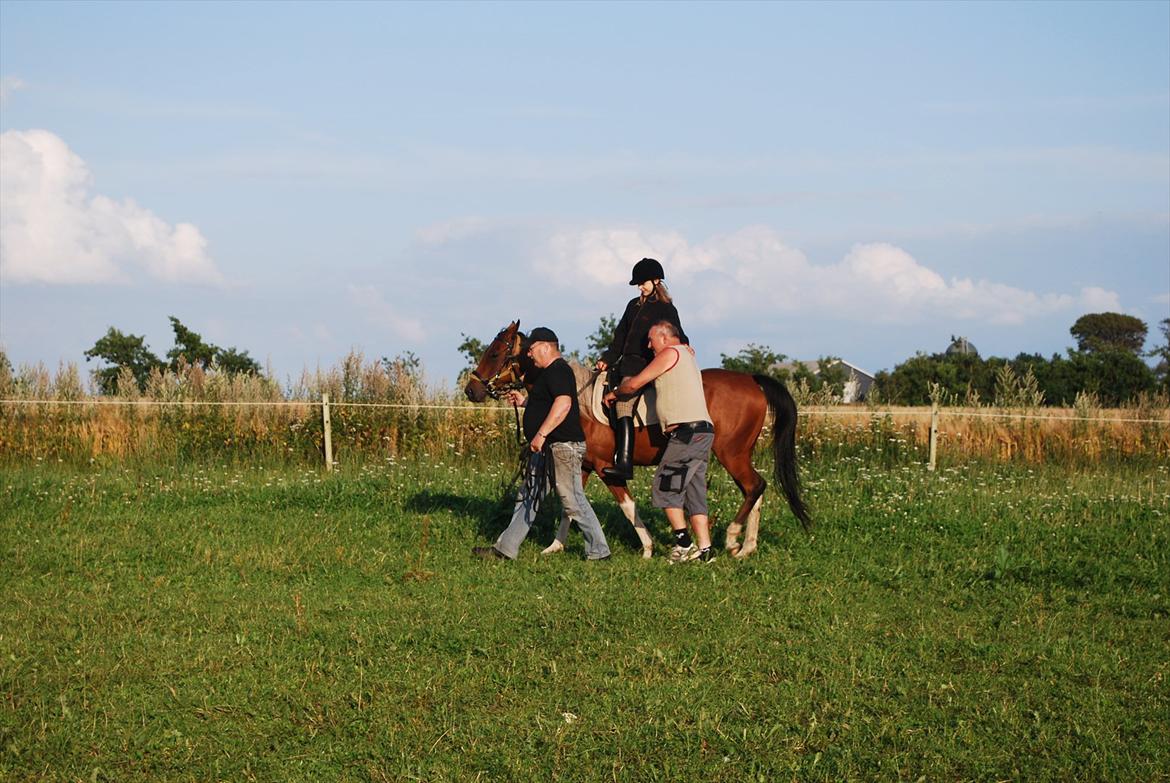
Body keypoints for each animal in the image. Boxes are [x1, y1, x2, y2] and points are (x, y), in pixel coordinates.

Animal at [464, 320, 811, 559]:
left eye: (495, 353)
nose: (471, 390)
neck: (577, 401)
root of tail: (751, 380)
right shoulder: (583, 465)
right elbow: (570, 507)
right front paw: (555, 546)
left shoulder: (605, 467)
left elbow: (627, 507)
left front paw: (646, 548)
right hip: (735, 454)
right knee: (757, 488)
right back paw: (746, 546)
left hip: (731, 453)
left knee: (754, 487)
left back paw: (732, 538)